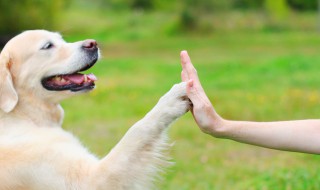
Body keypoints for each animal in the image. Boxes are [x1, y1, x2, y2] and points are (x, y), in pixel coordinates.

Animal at [0, 30, 190, 190]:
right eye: (47, 45)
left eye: (61, 39)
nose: (93, 43)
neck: (24, 116)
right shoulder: (90, 180)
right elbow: (137, 130)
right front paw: (172, 100)